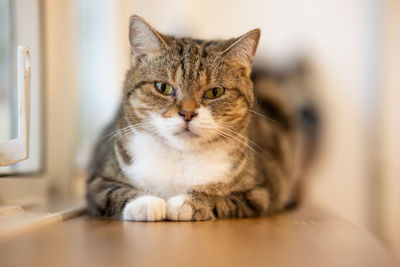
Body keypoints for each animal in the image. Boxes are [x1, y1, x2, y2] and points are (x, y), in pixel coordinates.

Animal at [86, 14, 318, 222]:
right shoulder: (97, 183)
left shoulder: (259, 192)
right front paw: (145, 203)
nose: (187, 113)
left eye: (214, 92)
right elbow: (115, 192)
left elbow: (223, 199)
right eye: (163, 87)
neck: (181, 156)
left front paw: (187, 203)